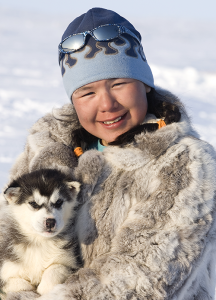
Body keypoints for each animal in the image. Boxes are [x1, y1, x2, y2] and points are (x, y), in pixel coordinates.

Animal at [0, 169, 81, 298]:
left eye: (59, 202)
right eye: (33, 203)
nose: (50, 222)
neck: (40, 242)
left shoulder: (69, 262)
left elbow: (55, 269)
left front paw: (45, 288)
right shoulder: (6, 269)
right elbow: (18, 284)